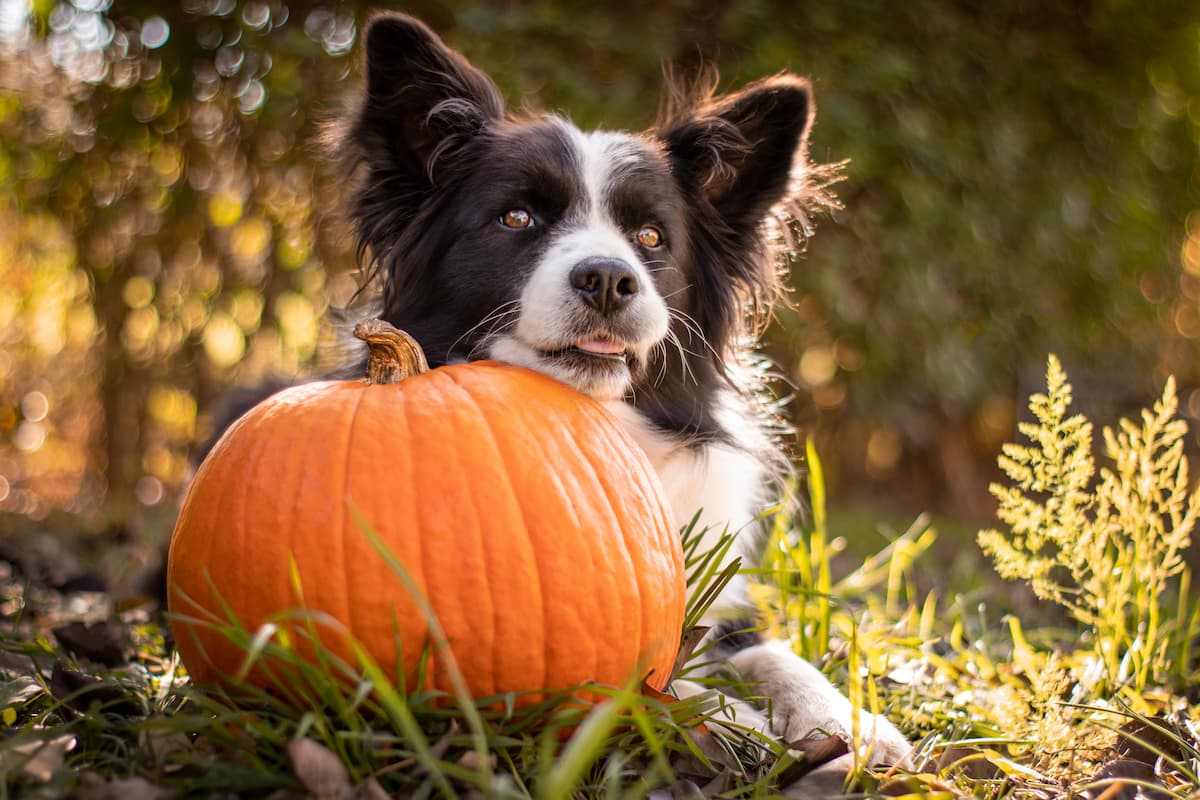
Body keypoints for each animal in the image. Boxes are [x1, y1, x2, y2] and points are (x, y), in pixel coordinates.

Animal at [328, 10, 907, 762]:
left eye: (651, 237)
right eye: (516, 219)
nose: (608, 278)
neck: (597, 420)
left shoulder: (728, 600)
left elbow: (774, 650)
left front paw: (847, 721)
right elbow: (651, 675)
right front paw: (735, 718)